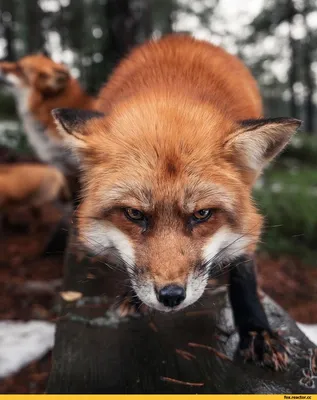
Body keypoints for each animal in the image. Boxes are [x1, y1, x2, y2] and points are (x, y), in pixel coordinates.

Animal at [51, 36, 298, 370]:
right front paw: (133, 297)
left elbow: (244, 267)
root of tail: (184, 37)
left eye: (203, 214)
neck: (172, 87)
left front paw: (257, 330)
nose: (170, 296)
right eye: (134, 214)